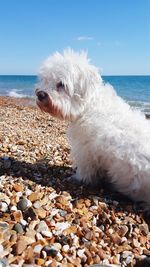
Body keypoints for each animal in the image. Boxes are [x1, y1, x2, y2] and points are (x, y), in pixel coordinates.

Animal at [35, 49, 150, 210]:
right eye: (45, 80)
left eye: (61, 84)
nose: (40, 94)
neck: (88, 105)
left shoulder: (85, 151)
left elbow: (85, 170)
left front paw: (78, 178)